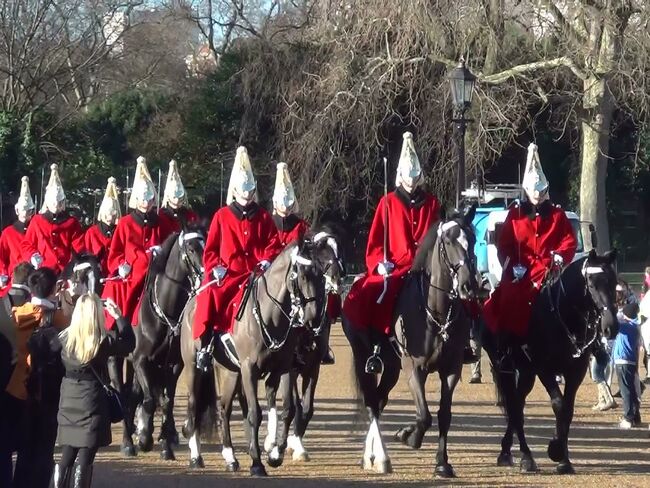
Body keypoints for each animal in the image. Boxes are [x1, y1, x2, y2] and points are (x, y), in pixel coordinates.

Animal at [124, 227, 204, 460]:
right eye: (191, 248)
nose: (207, 275)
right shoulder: (141, 360)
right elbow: (150, 400)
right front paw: (144, 439)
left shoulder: (173, 365)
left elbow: (166, 402)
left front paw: (166, 446)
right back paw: (128, 442)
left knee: (135, 395)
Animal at [178, 233, 340, 476]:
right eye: (302, 275)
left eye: (321, 274)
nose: (313, 317)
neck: (271, 314)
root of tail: (192, 301)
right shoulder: (252, 370)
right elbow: (258, 412)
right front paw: (258, 462)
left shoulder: (289, 368)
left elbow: (290, 409)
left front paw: (275, 452)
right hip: (193, 368)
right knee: (194, 405)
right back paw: (196, 456)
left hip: (231, 371)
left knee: (224, 408)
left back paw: (231, 457)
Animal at [392, 205, 478, 476]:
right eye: (448, 241)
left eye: (473, 239)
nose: (468, 285)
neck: (437, 313)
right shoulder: (413, 368)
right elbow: (424, 415)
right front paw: (411, 437)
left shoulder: (451, 369)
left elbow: (443, 415)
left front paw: (442, 461)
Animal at [480, 248, 616, 472]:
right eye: (592, 283)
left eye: (613, 282)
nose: (610, 327)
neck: (562, 314)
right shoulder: (544, 368)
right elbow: (559, 405)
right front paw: (556, 448)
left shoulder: (575, 371)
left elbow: (568, 410)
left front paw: (564, 460)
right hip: (504, 367)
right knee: (514, 407)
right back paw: (525, 457)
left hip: (526, 372)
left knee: (518, 403)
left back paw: (508, 450)